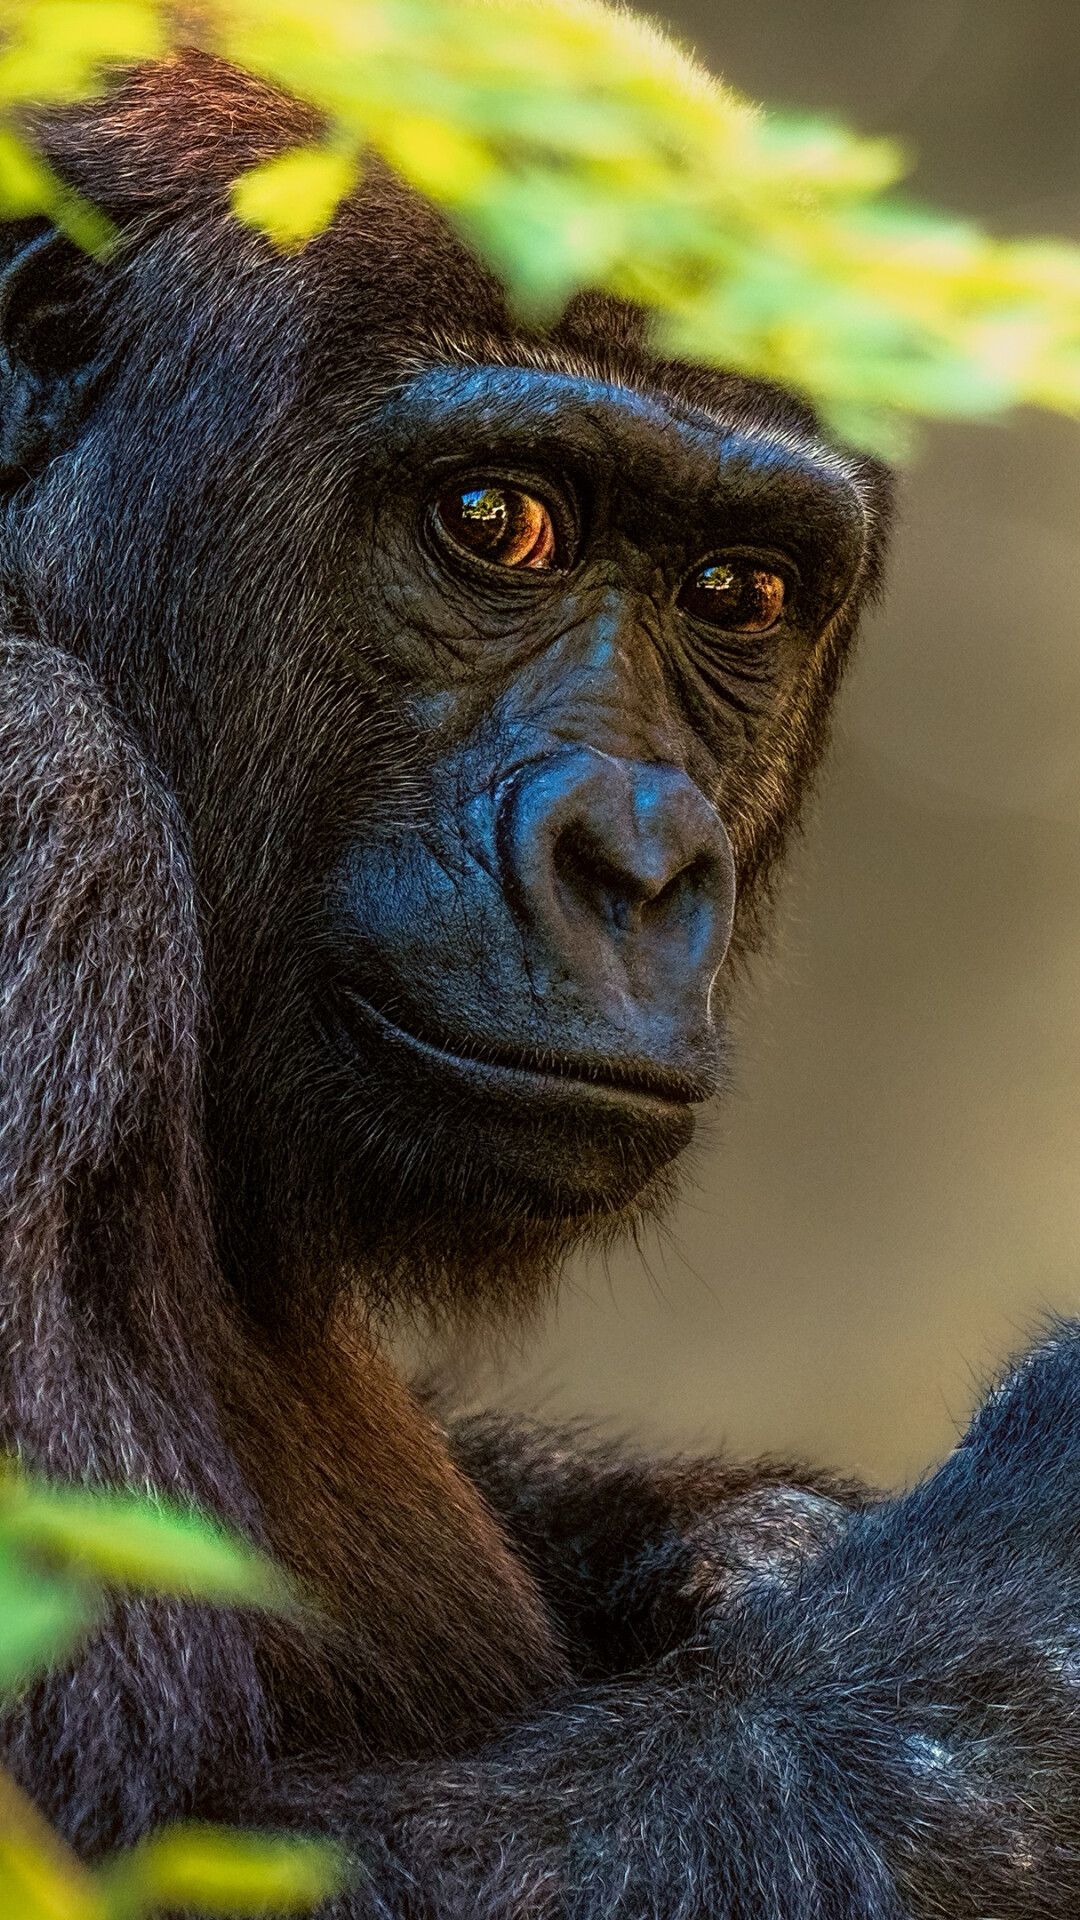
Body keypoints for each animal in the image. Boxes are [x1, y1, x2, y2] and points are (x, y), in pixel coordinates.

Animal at [6, 45, 1076, 1920]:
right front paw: (1020, 1606)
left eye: (739, 592)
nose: (639, 861)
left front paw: (737, 1543)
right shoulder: (39, 795)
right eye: (492, 522)